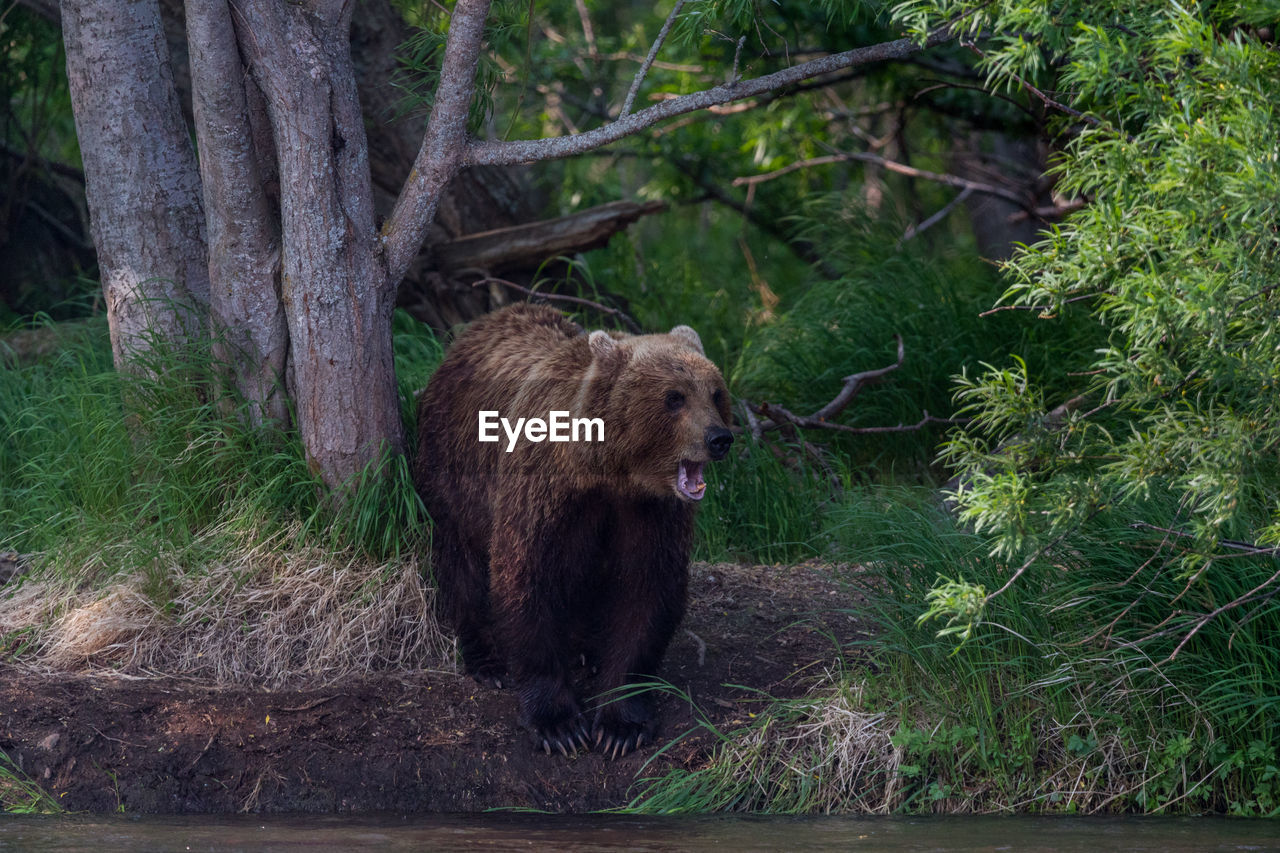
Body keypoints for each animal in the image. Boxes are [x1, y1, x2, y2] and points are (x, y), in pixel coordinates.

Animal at [409, 302, 732, 753]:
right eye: (674, 397)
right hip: (454, 468)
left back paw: (587, 650)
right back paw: (487, 659)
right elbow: (527, 577)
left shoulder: (649, 511)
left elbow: (646, 589)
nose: (719, 438)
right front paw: (558, 724)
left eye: (716, 393)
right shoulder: (544, 489)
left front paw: (620, 725)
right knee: (462, 561)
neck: (609, 473)